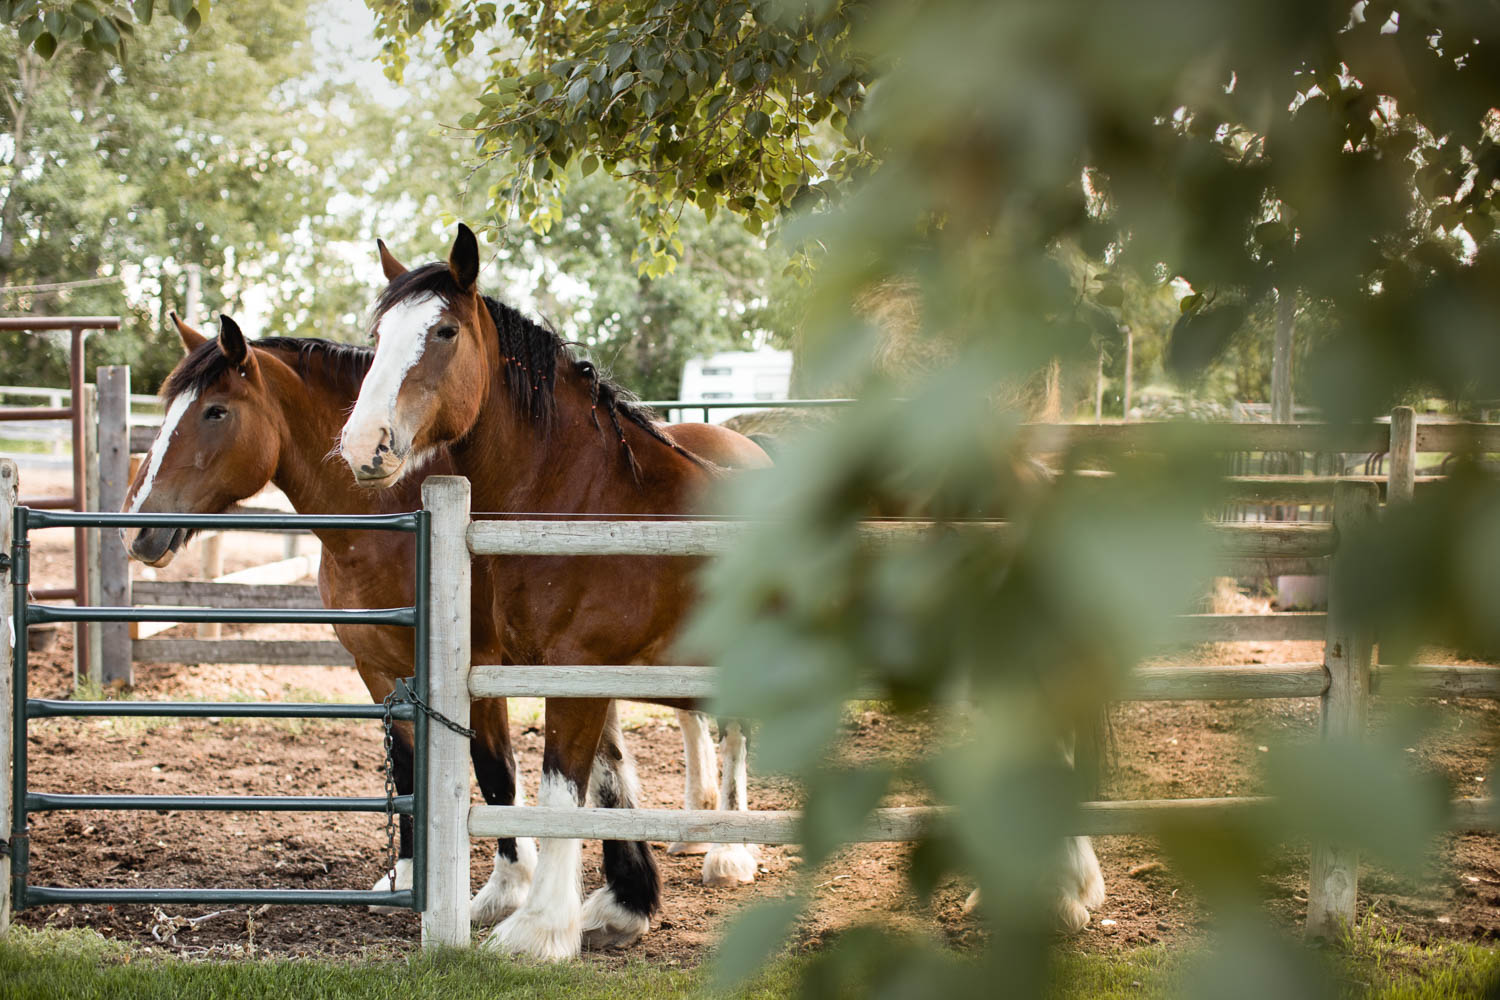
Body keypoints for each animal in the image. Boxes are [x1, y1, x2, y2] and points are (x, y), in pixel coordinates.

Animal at [120, 314, 762, 941]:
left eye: (215, 411)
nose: (138, 530)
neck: (395, 516)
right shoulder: (380, 668)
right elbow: (408, 770)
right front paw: (408, 878)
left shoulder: (486, 668)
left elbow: (497, 769)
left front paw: (508, 890)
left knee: (734, 732)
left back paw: (730, 851)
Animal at [340, 229, 762, 959]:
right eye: (378, 333)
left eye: (445, 330)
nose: (366, 444)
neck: (592, 504)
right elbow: (602, 782)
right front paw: (616, 910)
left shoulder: (578, 672)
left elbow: (562, 791)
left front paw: (537, 931)